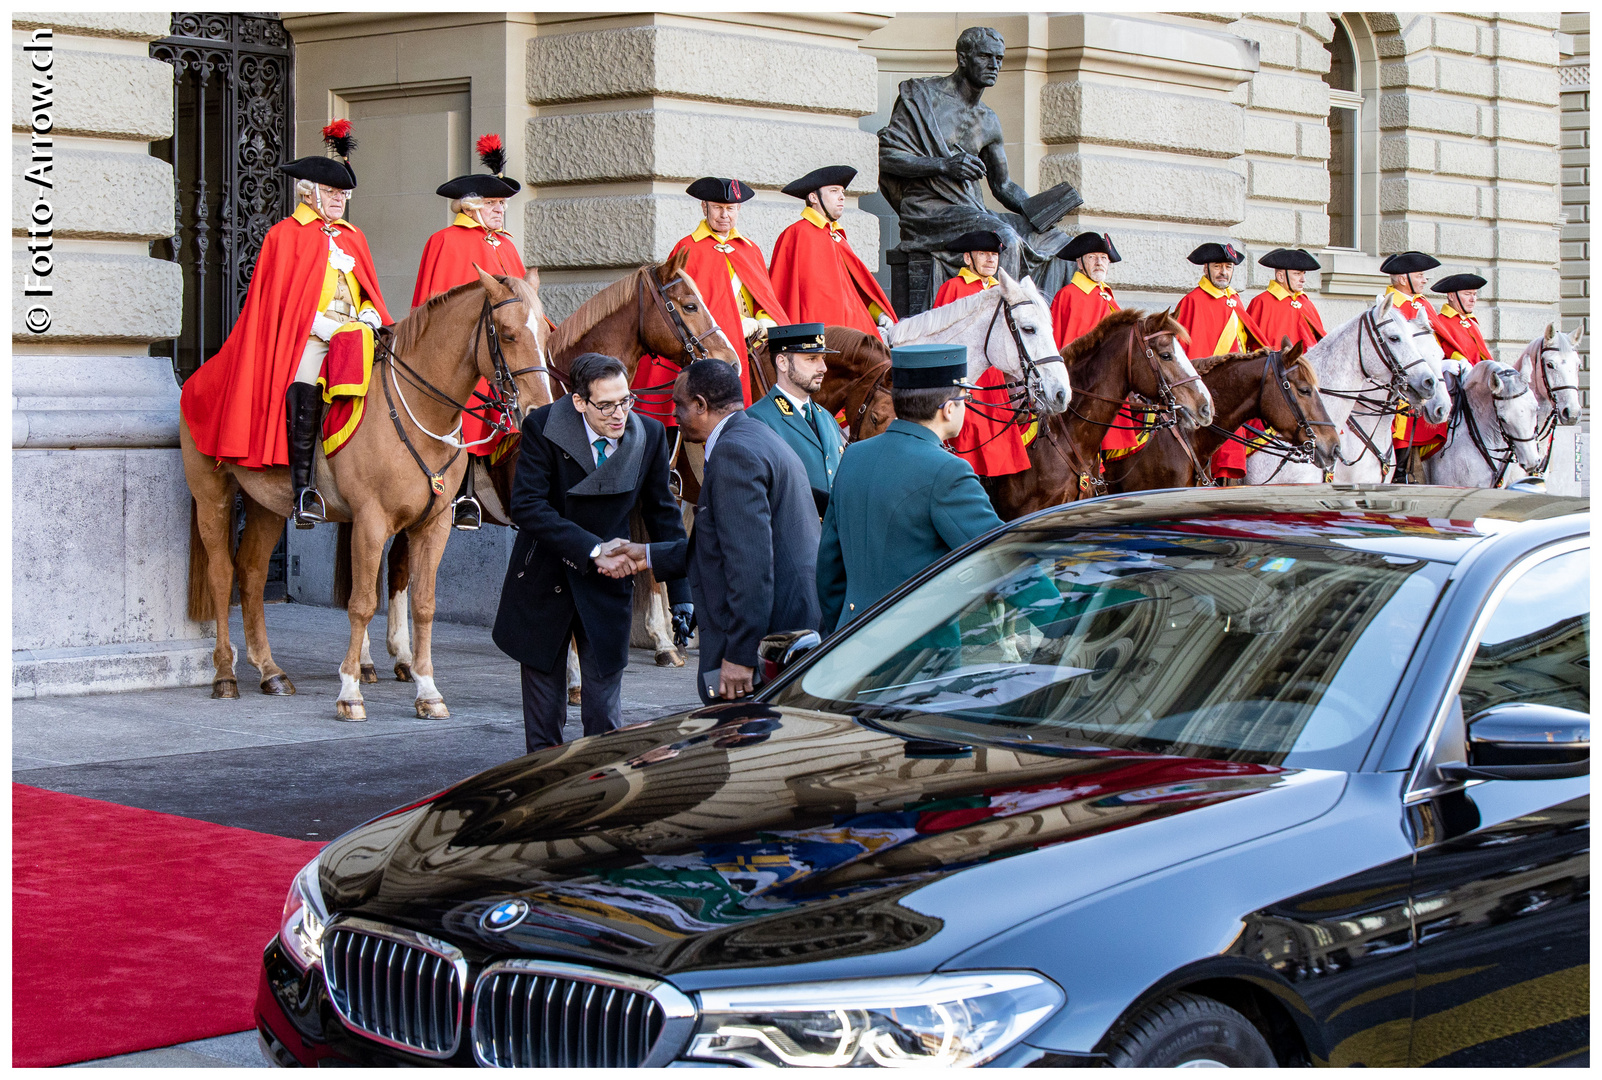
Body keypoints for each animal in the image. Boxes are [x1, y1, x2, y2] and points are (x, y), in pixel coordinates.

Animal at [183, 265, 551, 714]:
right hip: (212, 495)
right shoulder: (371, 521)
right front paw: (350, 690)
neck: (419, 412)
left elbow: (424, 604)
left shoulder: (433, 526)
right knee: (221, 574)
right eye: (509, 334)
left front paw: (427, 690)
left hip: (266, 503)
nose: (539, 411)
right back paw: (224, 673)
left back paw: (271, 672)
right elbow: (361, 604)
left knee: (251, 572)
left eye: (546, 333)